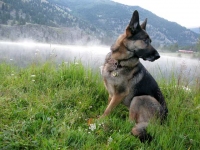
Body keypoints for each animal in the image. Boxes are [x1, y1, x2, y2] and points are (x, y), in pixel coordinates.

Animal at [101, 10, 168, 142]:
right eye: (145, 40)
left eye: (150, 41)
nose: (158, 56)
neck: (118, 63)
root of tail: (161, 123)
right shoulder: (111, 94)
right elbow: (108, 107)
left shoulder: (119, 94)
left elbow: (108, 110)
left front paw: (99, 120)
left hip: (139, 98)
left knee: (130, 124)